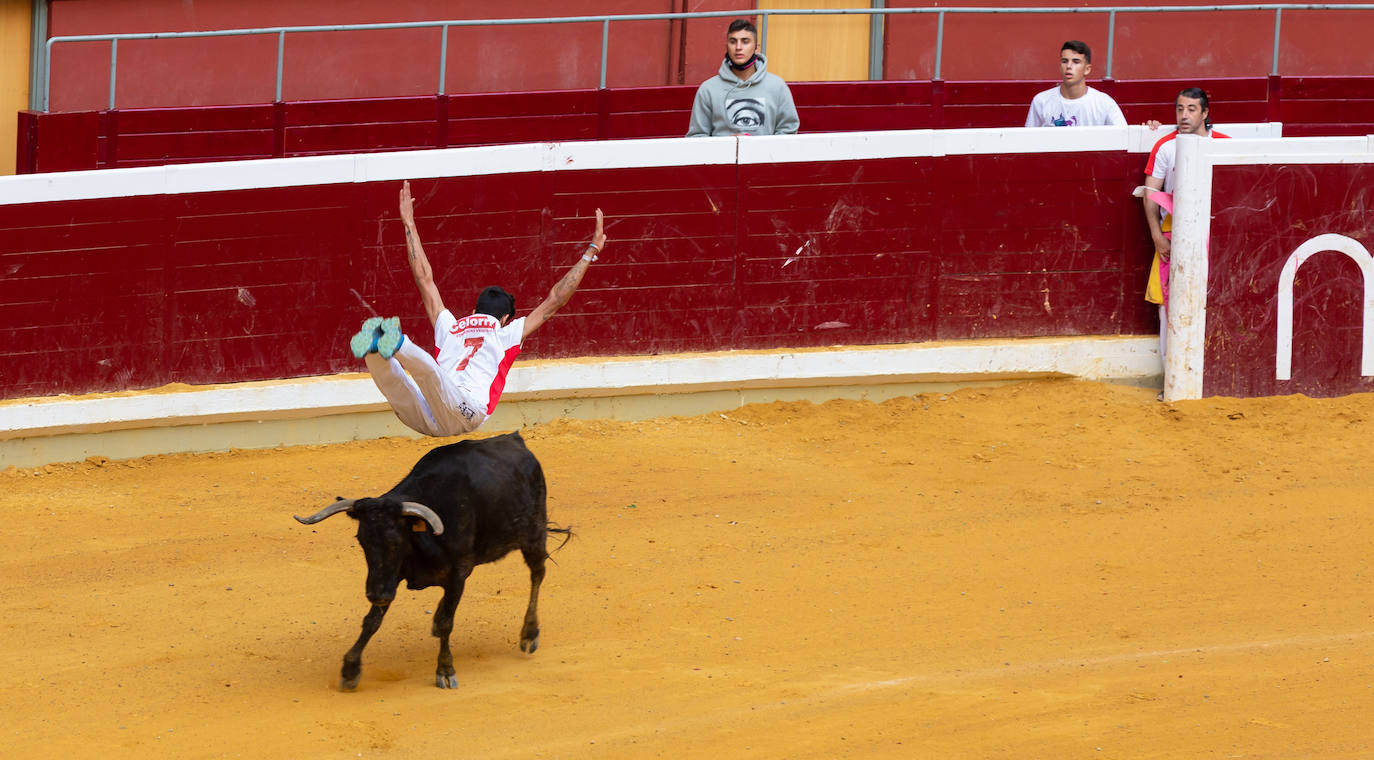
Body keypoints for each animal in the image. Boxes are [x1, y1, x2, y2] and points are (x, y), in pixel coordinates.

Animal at [292, 431, 571, 687]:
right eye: (362, 541)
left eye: (397, 541)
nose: (377, 594)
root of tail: (515, 439)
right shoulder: (391, 575)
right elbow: (372, 621)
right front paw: (350, 669)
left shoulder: (458, 574)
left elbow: (448, 621)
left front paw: (445, 670)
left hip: (534, 534)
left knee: (537, 574)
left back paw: (529, 633)